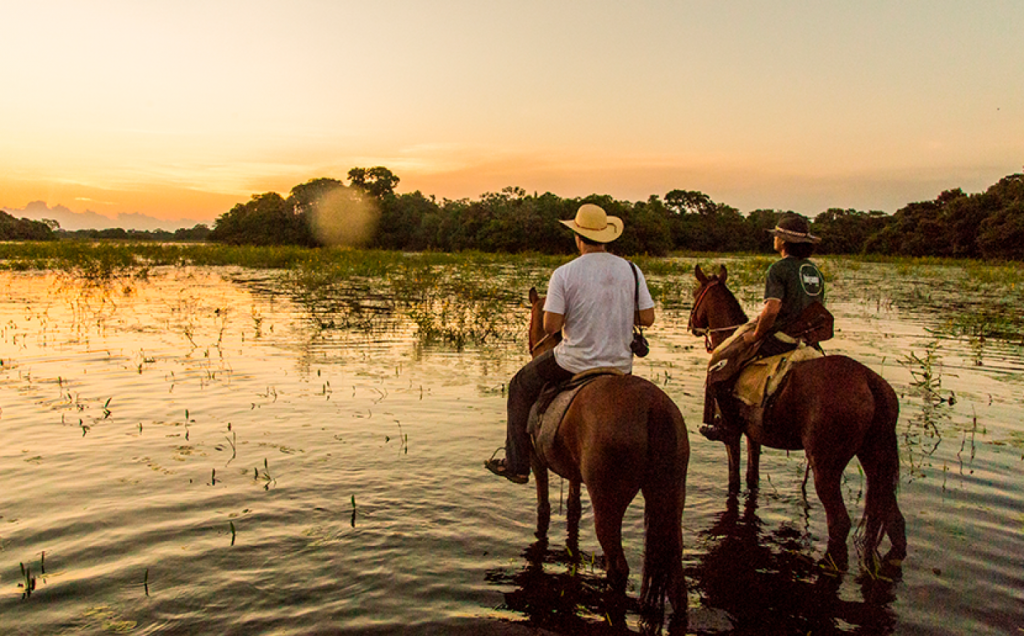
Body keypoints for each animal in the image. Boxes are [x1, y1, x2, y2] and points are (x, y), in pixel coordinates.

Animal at [528, 286, 688, 626]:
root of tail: (653, 407)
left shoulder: (537, 461)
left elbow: (544, 506)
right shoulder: (574, 474)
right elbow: (573, 507)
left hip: (608, 502)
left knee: (619, 567)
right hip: (670, 496)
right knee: (676, 576)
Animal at [688, 266, 905, 569]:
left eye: (696, 293)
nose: (692, 325)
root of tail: (869, 382)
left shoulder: (733, 434)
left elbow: (734, 481)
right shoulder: (754, 435)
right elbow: (752, 478)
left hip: (826, 466)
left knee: (839, 522)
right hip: (875, 456)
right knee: (894, 518)